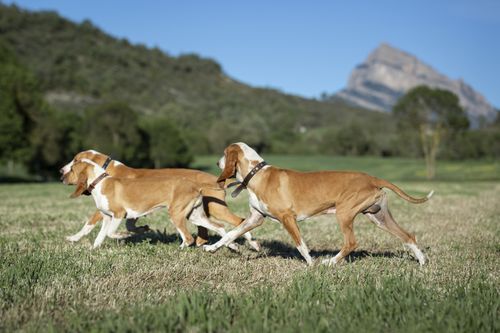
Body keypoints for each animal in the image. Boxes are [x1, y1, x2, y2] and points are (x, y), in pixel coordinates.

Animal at [59, 149, 258, 250]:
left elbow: (91, 224)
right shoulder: (128, 213)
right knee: (212, 229)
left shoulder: (116, 212)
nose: (61, 171)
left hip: (211, 209)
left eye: (74, 160)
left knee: (238, 221)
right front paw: (142, 230)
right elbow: (125, 227)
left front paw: (74, 238)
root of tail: (213, 179)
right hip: (197, 214)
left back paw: (251, 244)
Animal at [203, 142, 434, 264]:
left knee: (351, 243)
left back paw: (330, 262)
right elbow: (231, 234)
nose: (216, 162)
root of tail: (373, 178)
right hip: (379, 217)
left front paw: (311, 265)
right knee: (408, 236)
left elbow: (301, 245)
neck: (257, 173)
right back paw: (422, 262)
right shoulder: (255, 219)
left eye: (224, 154)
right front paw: (212, 248)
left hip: (344, 214)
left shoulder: (288, 218)